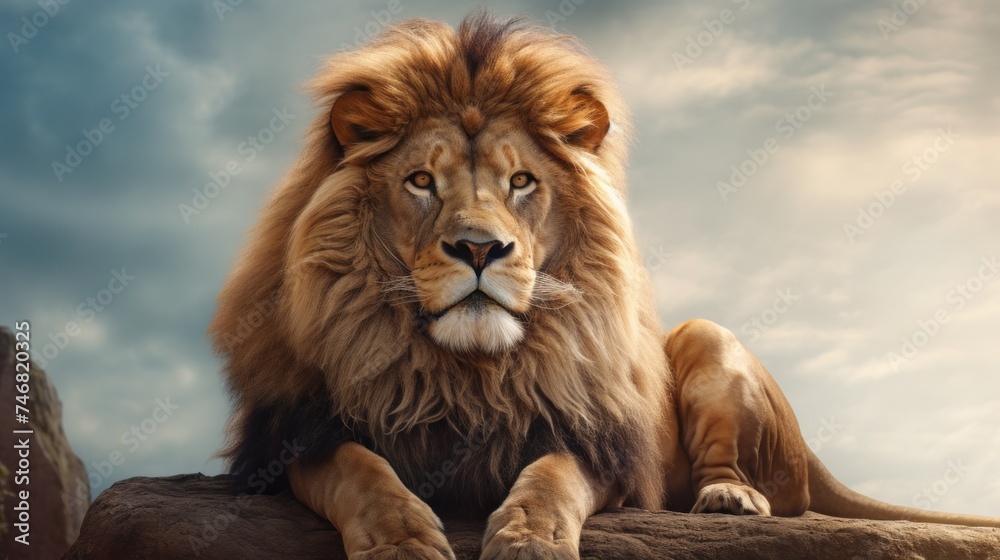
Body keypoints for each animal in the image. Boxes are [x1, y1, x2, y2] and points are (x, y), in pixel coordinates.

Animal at [210, 12, 1000, 560]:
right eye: (421, 181)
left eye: (521, 181)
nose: (480, 248)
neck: (464, 371)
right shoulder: (293, 435)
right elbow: (363, 471)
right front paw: (402, 541)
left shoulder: (594, 440)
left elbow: (552, 478)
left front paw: (528, 540)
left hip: (712, 342)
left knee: (761, 483)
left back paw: (728, 497)